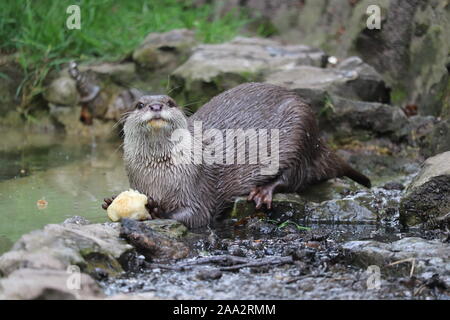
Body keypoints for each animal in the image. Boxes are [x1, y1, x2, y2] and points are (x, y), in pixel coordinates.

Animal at [103, 82, 370, 228]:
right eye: (139, 105)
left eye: (171, 102)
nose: (156, 106)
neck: (160, 178)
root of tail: (319, 140)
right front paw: (110, 201)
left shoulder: (196, 188)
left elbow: (197, 215)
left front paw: (157, 212)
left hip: (299, 132)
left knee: (294, 177)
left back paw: (262, 192)